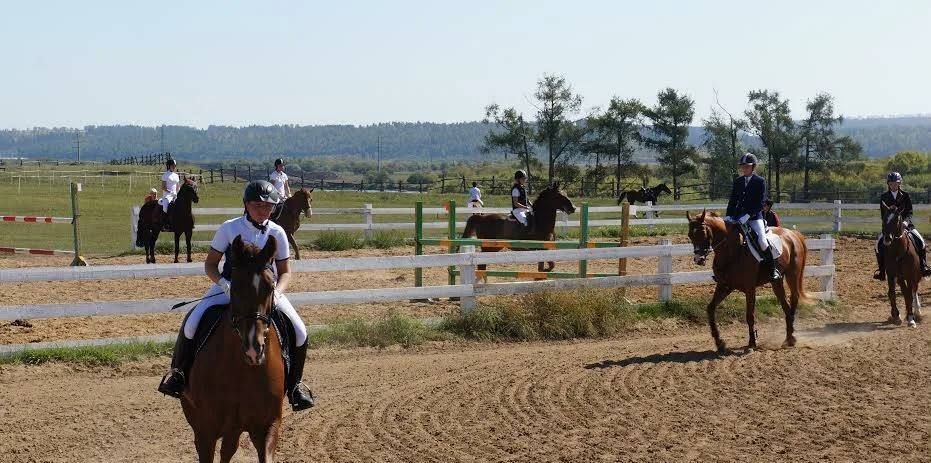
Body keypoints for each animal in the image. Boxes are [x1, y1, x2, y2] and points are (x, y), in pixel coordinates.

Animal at [180, 237, 286, 462]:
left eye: (270, 287)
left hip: (235, 428)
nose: (254, 349)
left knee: (228, 450)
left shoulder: (266, 426)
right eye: (235, 287)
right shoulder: (206, 431)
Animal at [684, 212, 808, 354]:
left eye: (703, 232)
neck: (732, 250)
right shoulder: (724, 286)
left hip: (792, 275)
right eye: (690, 235)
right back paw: (789, 338)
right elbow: (710, 309)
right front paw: (719, 343)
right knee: (786, 306)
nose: (698, 260)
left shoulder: (750, 288)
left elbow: (750, 315)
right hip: (776, 282)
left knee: (794, 297)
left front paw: (752, 344)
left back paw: (791, 336)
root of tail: (793, 233)